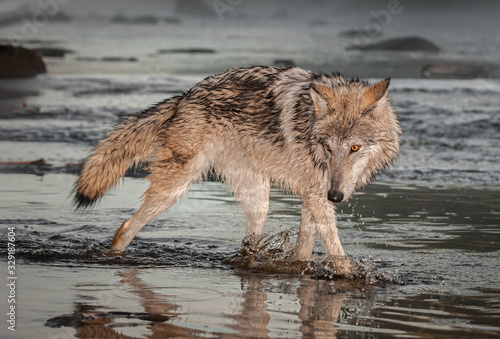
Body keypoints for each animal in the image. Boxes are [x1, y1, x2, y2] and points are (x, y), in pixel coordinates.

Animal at [73, 67, 398, 262]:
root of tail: (183, 98)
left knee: (248, 242)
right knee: (125, 227)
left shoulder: (314, 195)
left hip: (259, 198)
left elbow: (305, 246)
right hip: (176, 188)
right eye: (328, 147)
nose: (336, 196)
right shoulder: (317, 194)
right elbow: (335, 247)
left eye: (354, 148)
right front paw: (349, 276)